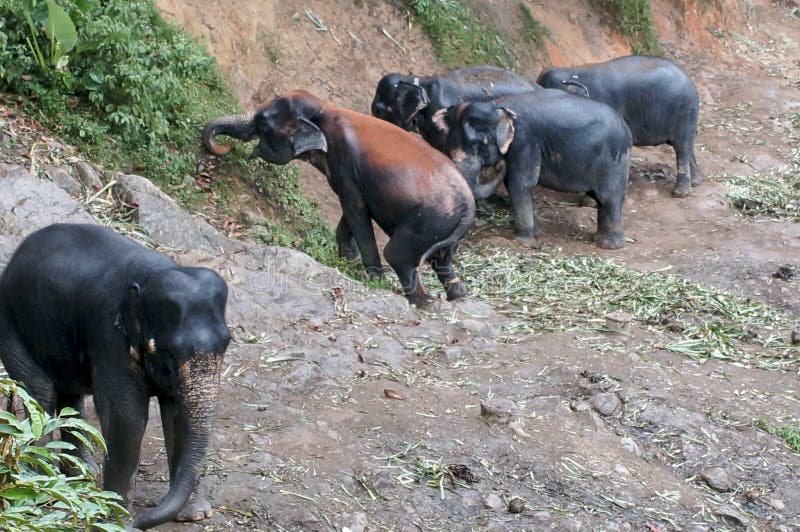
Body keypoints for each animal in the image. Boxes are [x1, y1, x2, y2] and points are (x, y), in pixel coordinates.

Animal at [0, 222, 231, 528]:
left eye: (227, 342)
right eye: (168, 352)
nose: (142, 521)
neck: (149, 275)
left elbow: (178, 416)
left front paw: (193, 515)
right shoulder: (109, 337)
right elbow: (126, 417)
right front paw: (120, 521)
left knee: (70, 397)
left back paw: (82, 475)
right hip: (8, 324)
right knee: (40, 392)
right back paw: (45, 477)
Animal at [203, 90, 476, 306]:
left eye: (262, 124)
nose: (225, 148)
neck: (323, 109)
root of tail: (470, 208)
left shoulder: (344, 162)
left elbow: (355, 208)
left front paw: (372, 277)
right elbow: (351, 211)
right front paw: (348, 259)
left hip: (427, 222)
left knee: (398, 256)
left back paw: (424, 302)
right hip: (445, 228)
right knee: (443, 260)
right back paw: (457, 298)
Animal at [536, 54, 700, 197]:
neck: (573, 73)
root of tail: (689, 79)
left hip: (683, 112)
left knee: (682, 147)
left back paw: (680, 193)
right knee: (687, 145)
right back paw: (696, 182)